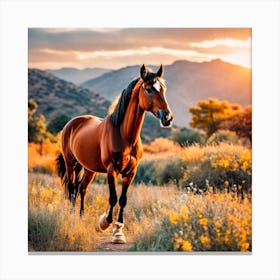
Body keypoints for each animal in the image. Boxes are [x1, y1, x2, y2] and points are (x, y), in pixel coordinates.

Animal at [56, 64, 174, 244]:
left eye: (163, 89)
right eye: (148, 89)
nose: (167, 117)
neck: (124, 135)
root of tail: (71, 123)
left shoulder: (130, 173)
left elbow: (123, 200)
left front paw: (118, 231)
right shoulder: (112, 170)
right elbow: (113, 197)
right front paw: (104, 222)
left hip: (88, 169)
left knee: (81, 189)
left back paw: (81, 216)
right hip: (71, 164)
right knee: (71, 189)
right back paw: (71, 216)